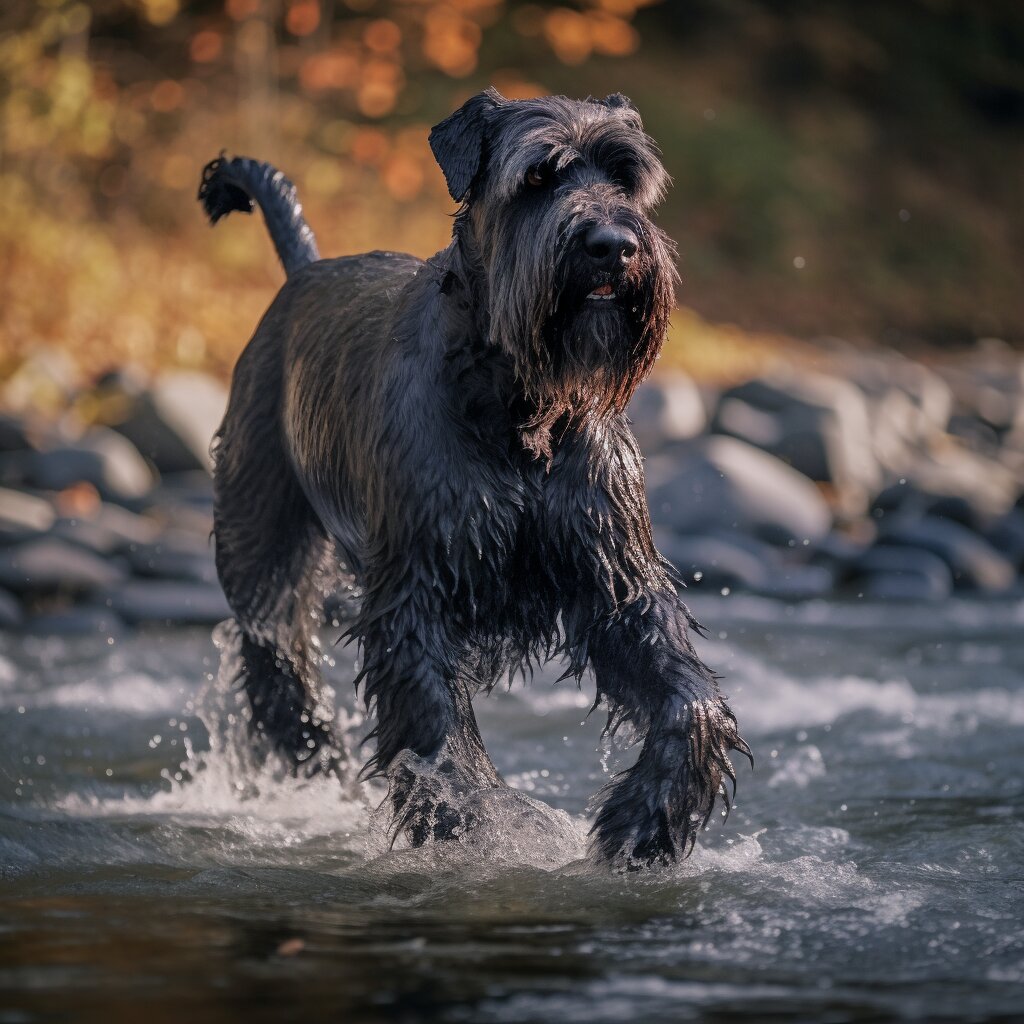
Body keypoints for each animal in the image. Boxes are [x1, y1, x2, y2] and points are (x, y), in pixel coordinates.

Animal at [199, 92, 749, 868]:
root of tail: (301, 274)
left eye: (626, 175)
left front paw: (645, 818)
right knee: (277, 662)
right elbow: (436, 731)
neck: (523, 409)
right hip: (262, 552)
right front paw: (478, 827)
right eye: (538, 175)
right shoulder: (416, 593)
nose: (614, 245)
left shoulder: (618, 587)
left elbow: (689, 697)